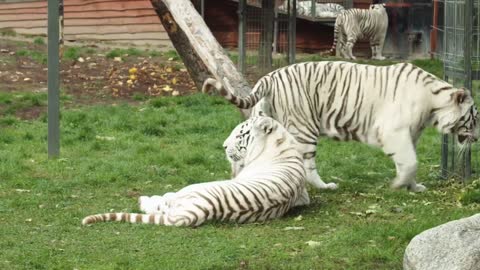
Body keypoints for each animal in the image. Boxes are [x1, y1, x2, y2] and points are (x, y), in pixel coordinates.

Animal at [82, 116, 308, 228]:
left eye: (240, 135)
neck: (281, 143)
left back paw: (143, 199)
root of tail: (201, 210)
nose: (224, 146)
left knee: (162, 204)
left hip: (187, 191)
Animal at [203, 61, 480, 192]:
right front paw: (398, 185)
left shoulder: (410, 136)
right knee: (307, 165)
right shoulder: (394, 133)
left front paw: (414, 187)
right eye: (475, 118)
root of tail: (270, 75)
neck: (433, 104)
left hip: (266, 119)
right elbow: (410, 162)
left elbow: (409, 163)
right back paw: (325, 186)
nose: (477, 139)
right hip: (304, 128)